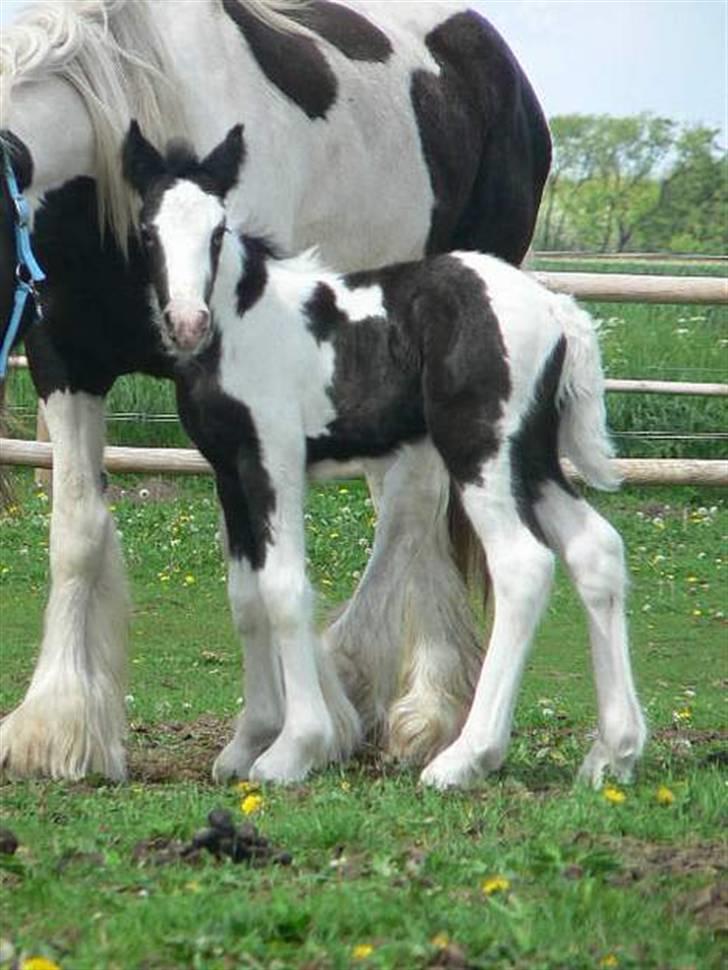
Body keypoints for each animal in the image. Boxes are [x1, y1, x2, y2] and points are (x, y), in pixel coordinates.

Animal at [0, 0, 548, 784]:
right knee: (410, 507)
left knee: (413, 506)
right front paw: (61, 729)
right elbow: (76, 534)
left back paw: (386, 691)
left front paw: (284, 727)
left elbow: (261, 573)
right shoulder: (65, 363)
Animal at [122, 123, 644, 788]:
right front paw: (246, 744)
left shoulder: (274, 458)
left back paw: (464, 759)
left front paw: (294, 749)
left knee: (524, 566)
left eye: (217, 230)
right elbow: (246, 597)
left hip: (479, 452)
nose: (188, 323)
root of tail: (556, 309)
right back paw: (613, 752)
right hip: (529, 459)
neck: (242, 324)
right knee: (596, 551)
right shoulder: (228, 471)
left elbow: (284, 590)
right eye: (148, 231)